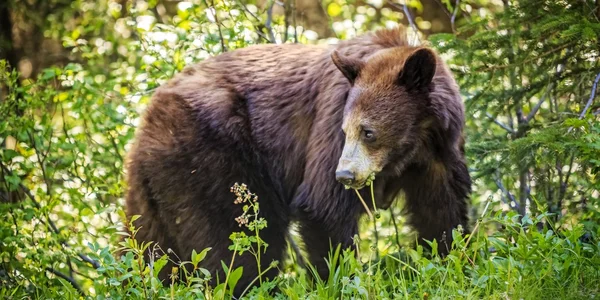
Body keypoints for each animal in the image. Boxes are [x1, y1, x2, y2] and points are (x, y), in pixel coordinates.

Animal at [124, 26, 472, 296]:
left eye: (368, 132)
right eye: (346, 130)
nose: (345, 175)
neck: (413, 143)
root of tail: (145, 122)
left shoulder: (440, 154)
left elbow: (442, 214)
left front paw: (454, 265)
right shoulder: (330, 117)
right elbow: (323, 206)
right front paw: (339, 281)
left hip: (158, 186)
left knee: (149, 245)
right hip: (210, 156)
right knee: (236, 240)